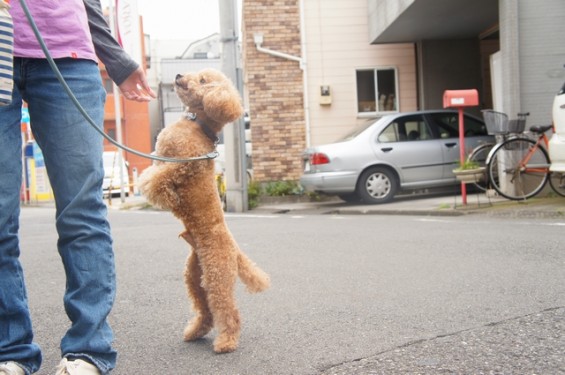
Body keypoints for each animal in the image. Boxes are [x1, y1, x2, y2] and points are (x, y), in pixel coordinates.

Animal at [137, 69, 268, 354]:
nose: (178, 74)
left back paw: (226, 342)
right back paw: (195, 332)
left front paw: (154, 191)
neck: (197, 125)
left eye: (203, 81)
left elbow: (158, 179)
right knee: (205, 310)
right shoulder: (168, 159)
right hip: (194, 277)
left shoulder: (182, 164)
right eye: (196, 74)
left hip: (217, 277)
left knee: (229, 312)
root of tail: (235, 250)